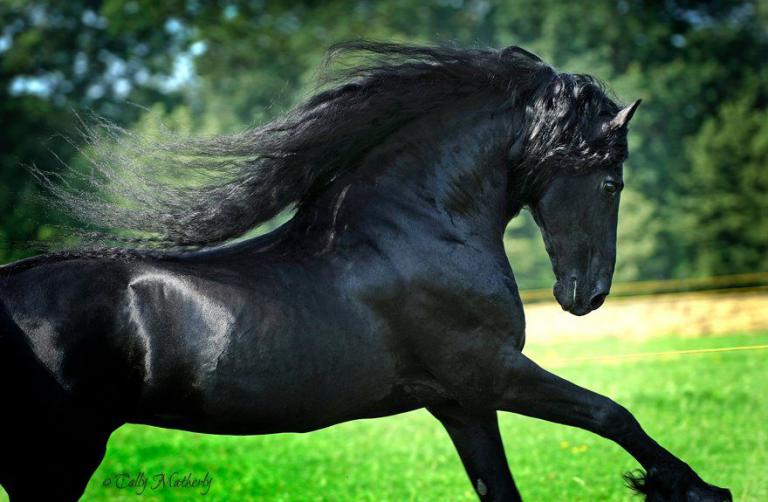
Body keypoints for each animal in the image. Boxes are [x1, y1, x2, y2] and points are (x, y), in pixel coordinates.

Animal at [0, 42, 731, 501]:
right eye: (613, 183)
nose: (588, 295)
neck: (419, 228)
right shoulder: (490, 371)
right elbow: (612, 413)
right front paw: (696, 488)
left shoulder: (462, 403)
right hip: (56, 456)